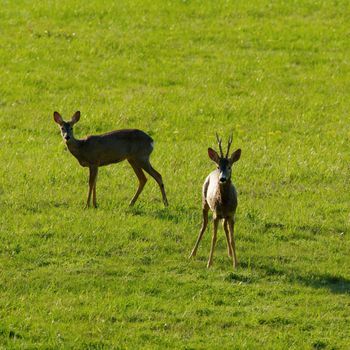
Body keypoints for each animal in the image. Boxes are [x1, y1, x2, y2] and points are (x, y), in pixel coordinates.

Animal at [190, 133, 242, 268]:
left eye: (229, 166)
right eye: (219, 166)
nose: (222, 178)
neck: (224, 203)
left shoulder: (232, 214)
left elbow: (233, 238)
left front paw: (235, 263)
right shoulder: (216, 214)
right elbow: (214, 237)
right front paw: (209, 263)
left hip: (225, 216)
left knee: (224, 227)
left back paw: (230, 253)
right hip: (204, 202)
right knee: (203, 226)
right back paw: (192, 253)